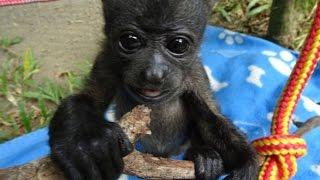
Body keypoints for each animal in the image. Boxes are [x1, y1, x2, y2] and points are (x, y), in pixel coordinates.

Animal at [49, 0, 260, 179]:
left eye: (178, 44)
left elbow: (210, 116)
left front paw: (246, 161)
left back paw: (204, 156)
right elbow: (87, 99)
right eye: (130, 41)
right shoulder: (106, 59)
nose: (154, 73)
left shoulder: (195, 73)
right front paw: (85, 142)